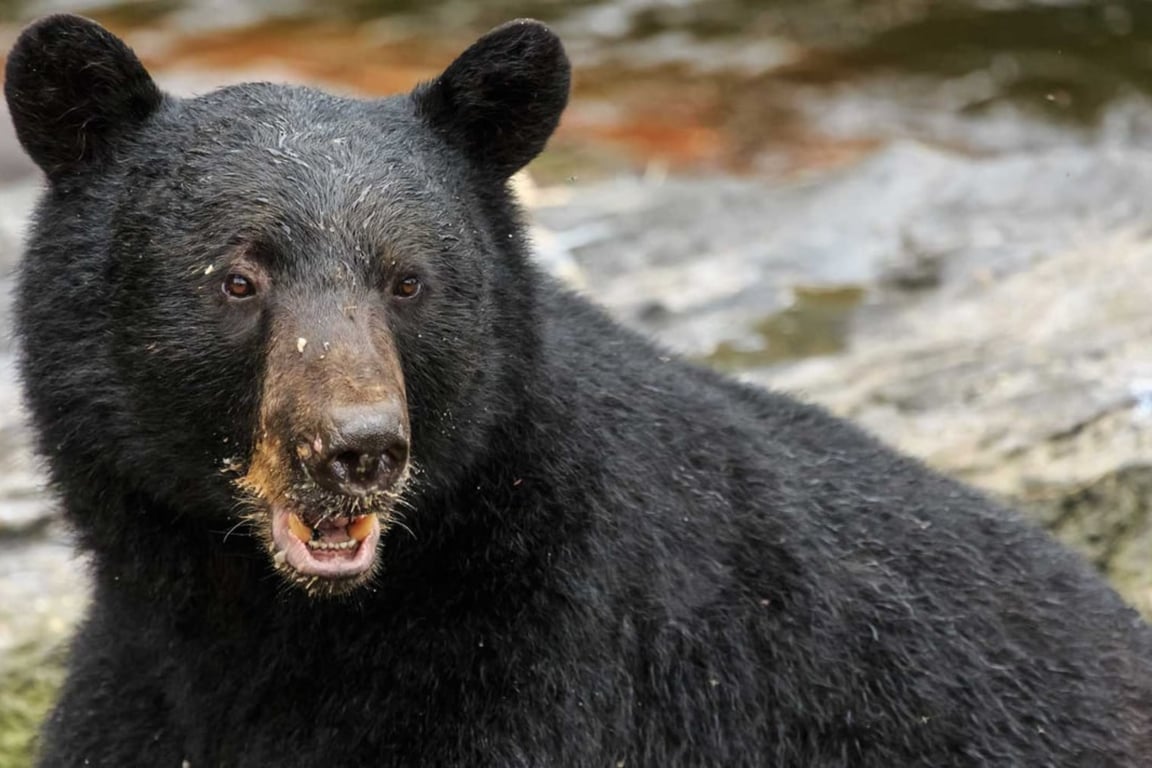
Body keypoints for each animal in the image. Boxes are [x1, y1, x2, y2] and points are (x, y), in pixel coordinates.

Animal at [6, 12, 1152, 768]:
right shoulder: (139, 690)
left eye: (408, 280)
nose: (358, 448)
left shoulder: (561, 675)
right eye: (238, 278)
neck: (261, 627)